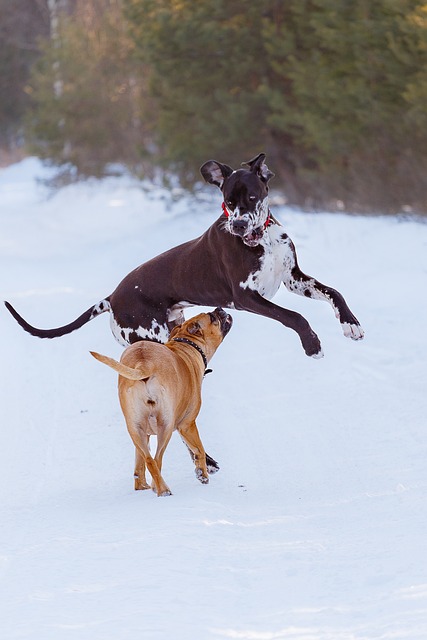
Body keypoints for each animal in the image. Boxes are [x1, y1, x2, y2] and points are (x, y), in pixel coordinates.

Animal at [4, 152, 364, 358]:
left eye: (250, 196)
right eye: (228, 201)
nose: (237, 226)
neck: (261, 239)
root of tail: (113, 297)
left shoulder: (293, 279)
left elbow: (334, 292)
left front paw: (350, 323)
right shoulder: (246, 297)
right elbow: (295, 317)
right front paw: (312, 344)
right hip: (152, 336)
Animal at [89, 308, 231, 498]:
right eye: (212, 317)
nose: (220, 309)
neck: (187, 345)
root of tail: (144, 364)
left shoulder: (145, 433)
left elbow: (139, 463)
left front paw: (141, 484)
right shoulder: (187, 424)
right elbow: (199, 449)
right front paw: (203, 474)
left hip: (135, 429)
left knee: (149, 460)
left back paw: (148, 486)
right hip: (166, 426)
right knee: (157, 459)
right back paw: (162, 490)